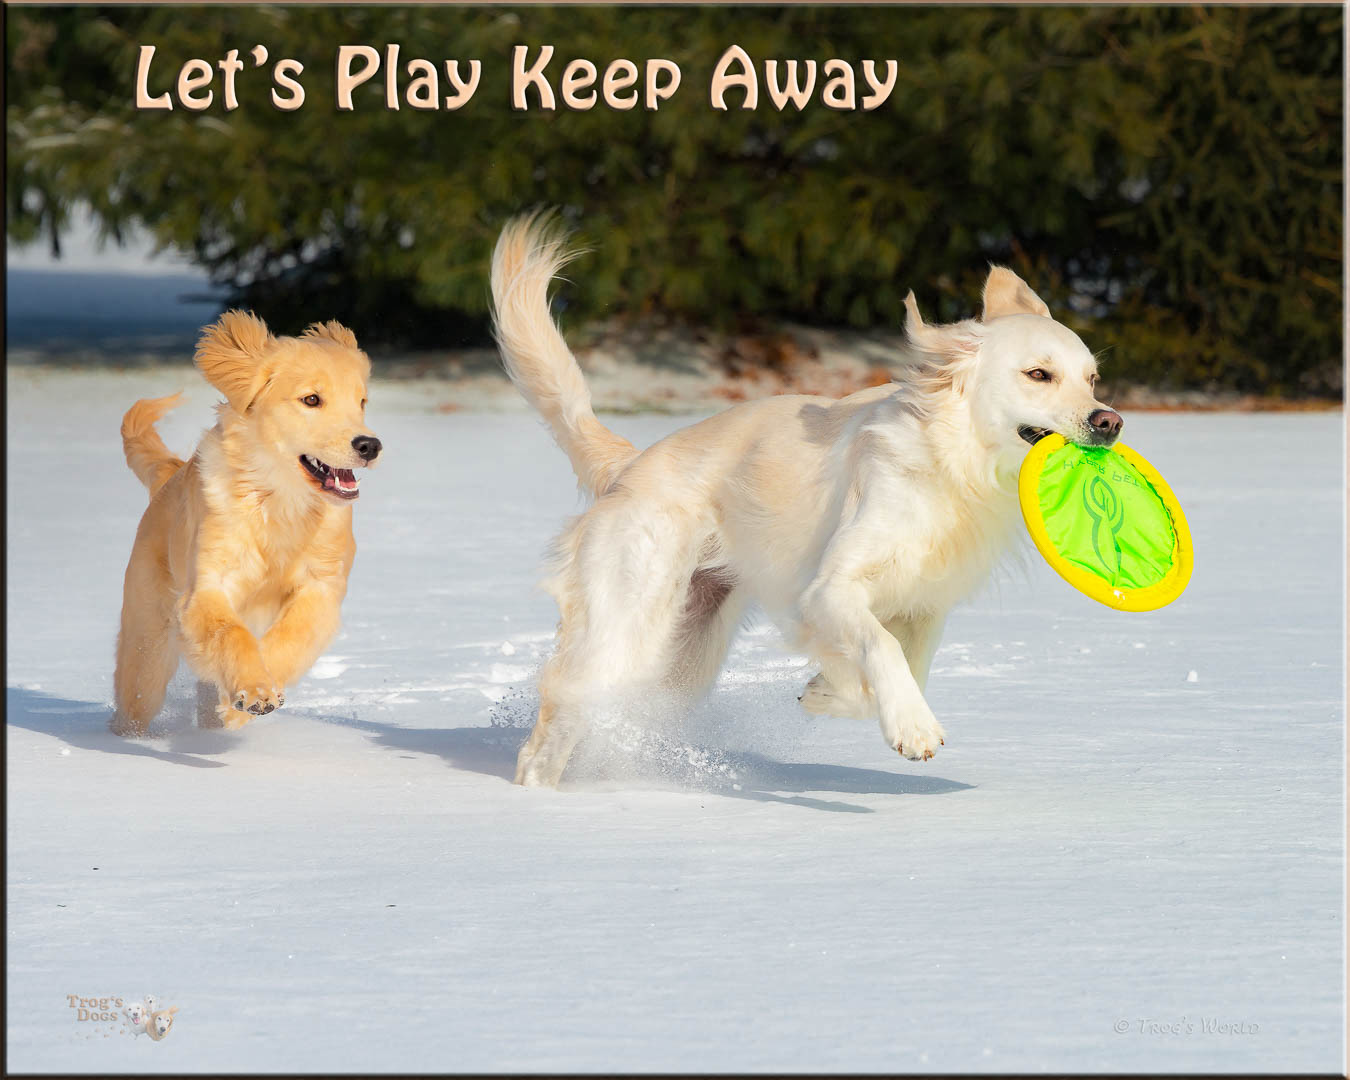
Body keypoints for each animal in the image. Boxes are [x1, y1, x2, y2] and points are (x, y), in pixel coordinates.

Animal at [109, 311, 386, 734]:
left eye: (361, 402)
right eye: (311, 399)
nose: (370, 445)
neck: (280, 500)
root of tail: (168, 478)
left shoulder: (323, 588)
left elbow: (291, 637)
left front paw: (243, 703)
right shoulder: (207, 586)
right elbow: (231, 633)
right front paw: (254, 691)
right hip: (147, 647)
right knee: (135, 697)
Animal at [491, 213, 1123, 783]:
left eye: (1092, 379)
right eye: (1037, 375)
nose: (1110, 422)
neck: (952, 464)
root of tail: (628, 464)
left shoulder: (924, 606)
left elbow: (900, 665)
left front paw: (828, 693)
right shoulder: (830, 587)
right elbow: (882, 647)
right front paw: (912, 728)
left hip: (685, 653)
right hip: (628, 626)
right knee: (555, 723)